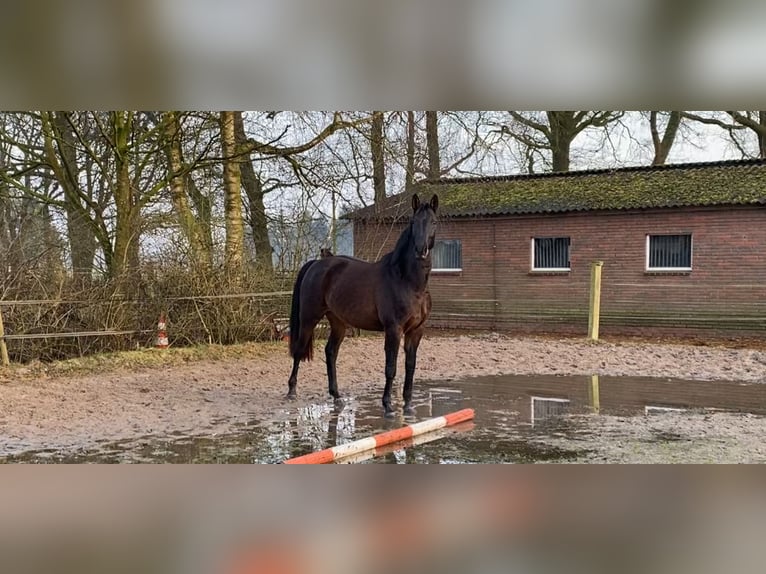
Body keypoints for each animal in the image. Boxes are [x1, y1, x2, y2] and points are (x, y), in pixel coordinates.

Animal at [286, 195, 438, 418]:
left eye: (433, 222)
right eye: (413, 222)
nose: (421, 250)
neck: (408, 281)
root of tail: (316, 264)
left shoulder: (416, 331)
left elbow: (410, 366)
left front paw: (408, 405)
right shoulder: (393, 330)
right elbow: (391, 367)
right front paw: (388, 406)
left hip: (338, 322)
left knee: (331, 352)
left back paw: (337, 396)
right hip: (309, 318)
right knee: (298, 350)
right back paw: (292, 391)